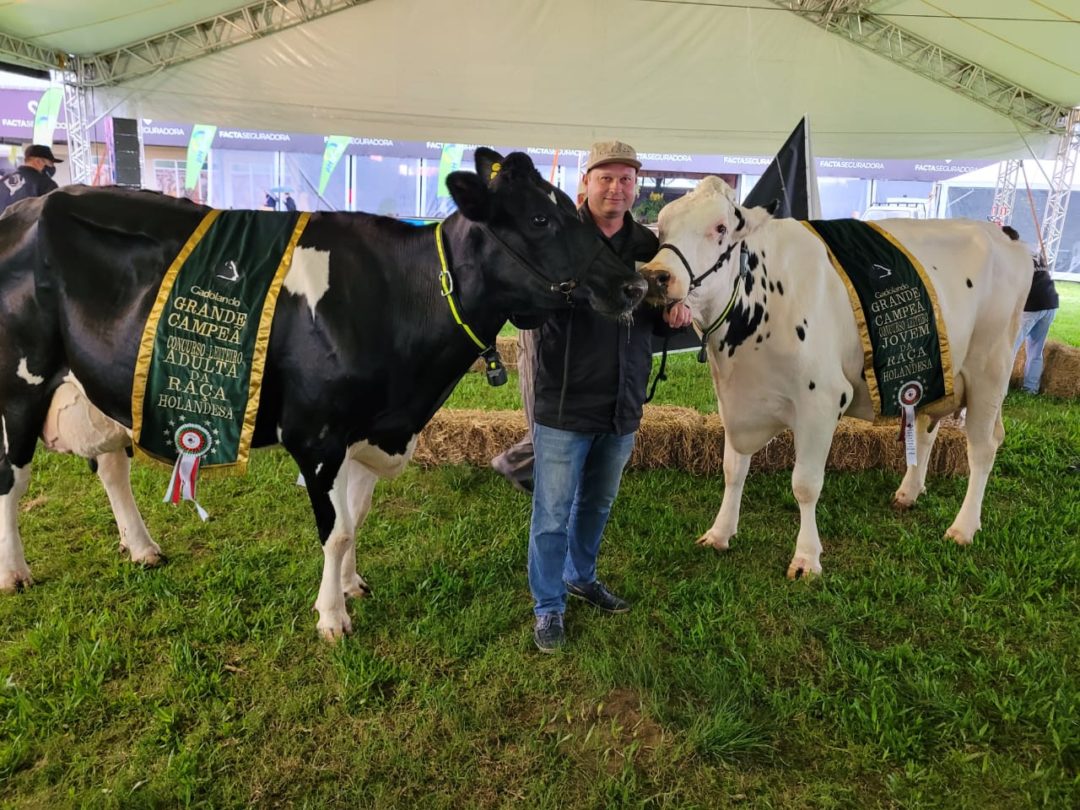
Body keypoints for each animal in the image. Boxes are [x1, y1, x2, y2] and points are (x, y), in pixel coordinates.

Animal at [0, 149, 643, 639]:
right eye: (538, 220)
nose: (634, 285)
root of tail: (28, 204)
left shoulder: (370, 429)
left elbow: (354, 521)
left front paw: (352, 584)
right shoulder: (317, 436)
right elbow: (333, 529)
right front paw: (332, 617)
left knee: (111, 468)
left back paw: (141, 547)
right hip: (18, 387)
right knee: (13, 480)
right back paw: (15, 572)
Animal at [639, 179, 1028, 578]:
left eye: (720, 227)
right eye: (662, 228)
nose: (655, 276)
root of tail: (1002, 232)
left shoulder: (821, 401)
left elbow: (805, 484)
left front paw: (807, 558)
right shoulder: (735, 400)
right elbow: (733, 470)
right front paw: (720, 533)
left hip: (990, 370)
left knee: (983, 448)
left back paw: (963, 527)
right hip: (934, 375)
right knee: (926, 430)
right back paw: (909, 493)